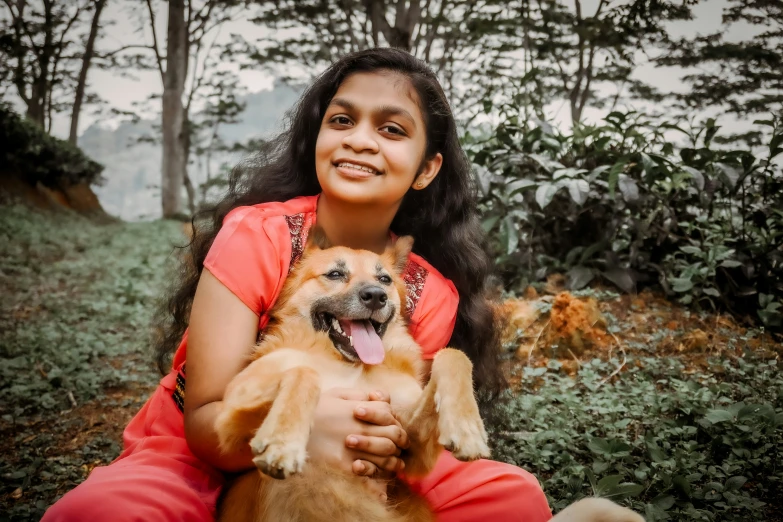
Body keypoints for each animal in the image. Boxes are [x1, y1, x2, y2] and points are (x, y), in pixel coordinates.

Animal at [213, 231, 644, 520]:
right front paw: (283, 441)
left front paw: (467, 427)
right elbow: (303, 372)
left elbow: (455, 358)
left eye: (385, 279)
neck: (351, 366)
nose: (375, 296)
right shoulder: (230, 420)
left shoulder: (409, 448)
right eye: (335, 274)